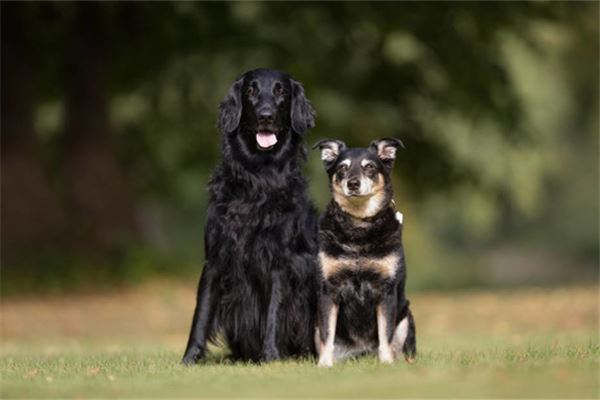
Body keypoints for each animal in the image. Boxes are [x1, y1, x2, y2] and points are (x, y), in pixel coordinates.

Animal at [183, 69, 318, 366]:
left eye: (281, 91)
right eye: (250, 91)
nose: (266, 115)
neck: (258, 176)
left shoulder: (281, 262)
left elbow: (274, 313)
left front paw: (270, 356)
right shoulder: (215, 259)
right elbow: (201, 313)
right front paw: (190, 358)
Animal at [312, 138, 414, 368]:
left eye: (370, 167)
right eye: (342, 168)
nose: (353, 183)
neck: (358, 227)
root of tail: (361, 353)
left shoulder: (386, 290)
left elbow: (385, 333)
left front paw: (386, 362)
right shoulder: (328, 290)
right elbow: (327, 333)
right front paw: (324, 364)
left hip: (405, 317)